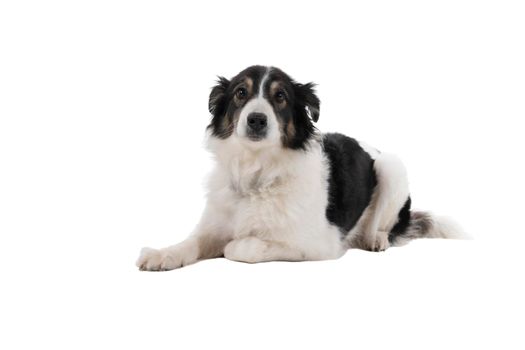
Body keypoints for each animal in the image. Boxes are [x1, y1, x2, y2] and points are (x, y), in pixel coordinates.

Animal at [136, 64, 462, 270]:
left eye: (280, 96)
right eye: (241, 92)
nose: (256, 120)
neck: (257, 173)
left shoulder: (319, 244)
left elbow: (243, 247)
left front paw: (234, 246)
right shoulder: (214, 225)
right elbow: (190, 242)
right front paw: (162, 254)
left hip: (391, 166)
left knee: (388, 226)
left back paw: (377, 238)